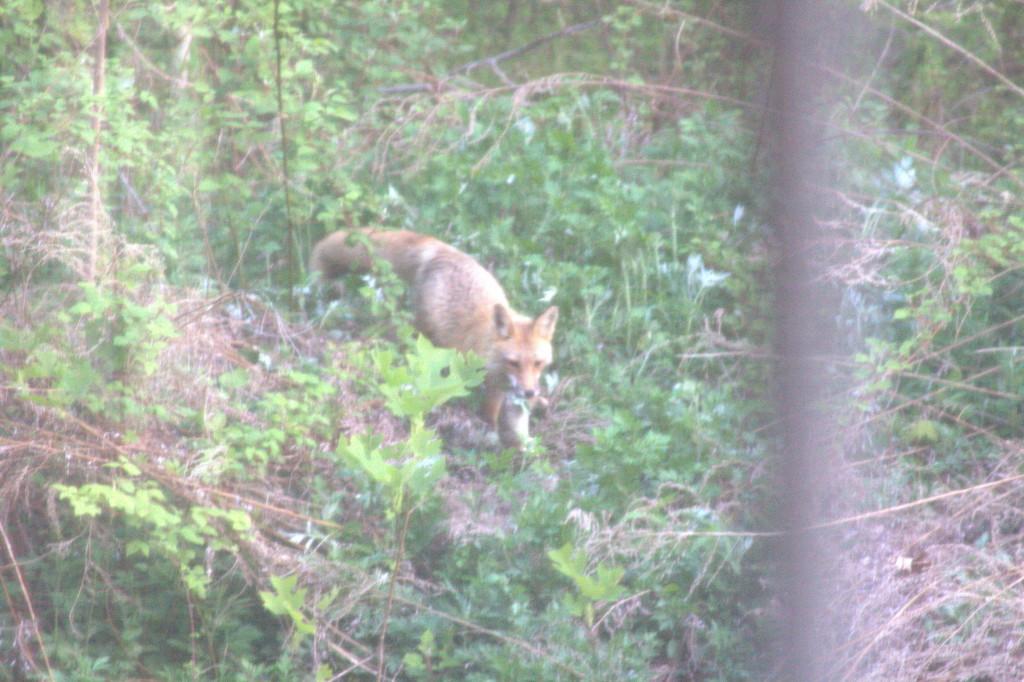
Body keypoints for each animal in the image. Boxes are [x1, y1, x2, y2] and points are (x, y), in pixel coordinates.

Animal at [312, 228, 558, 444]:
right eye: (514, 363)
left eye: (537, 363)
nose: (529, 392)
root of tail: (442, 249)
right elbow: (487, 416)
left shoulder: (503, 391)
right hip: (421, 329)